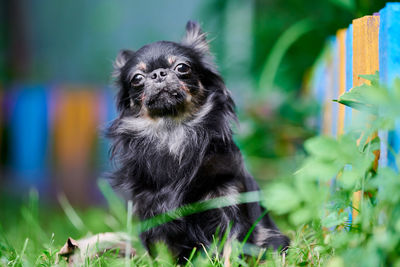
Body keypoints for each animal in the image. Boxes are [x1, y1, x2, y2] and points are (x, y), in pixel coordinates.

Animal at [106, 21, 288, 264]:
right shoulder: (155, 219)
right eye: (137, 79)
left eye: (182, 67)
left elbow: (231, 249)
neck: (173, 132)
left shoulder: (229, 205)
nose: (158, 73)